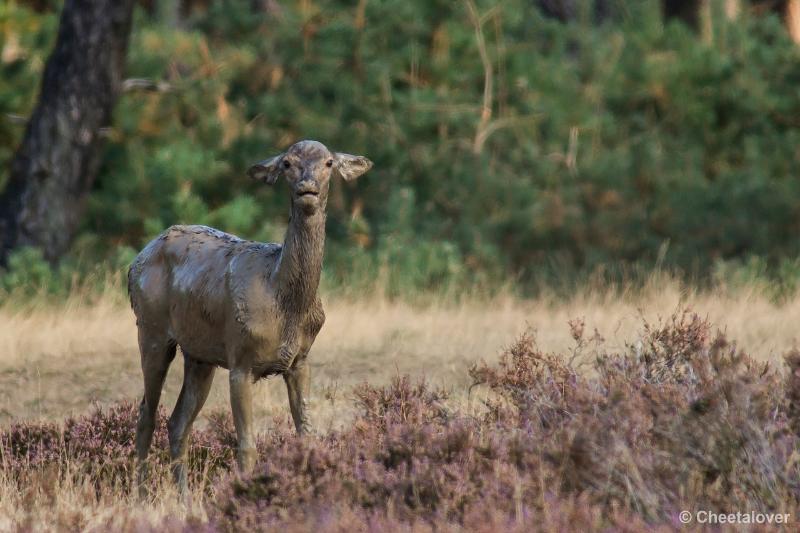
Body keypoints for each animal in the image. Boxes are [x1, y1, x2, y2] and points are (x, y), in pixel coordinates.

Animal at [126, 139, 374, 492]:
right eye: (287, 163)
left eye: (328, 163)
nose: (307, 188)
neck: (284, 301)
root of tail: (137, 259)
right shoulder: (240, 358)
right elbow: (247, 446)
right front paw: (245, 491)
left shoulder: (300, 361)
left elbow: (307, 435)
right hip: (151, 329)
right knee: (146, 412)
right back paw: (142, 493)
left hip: (200, 355)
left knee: (177, 422)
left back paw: (183, 496)